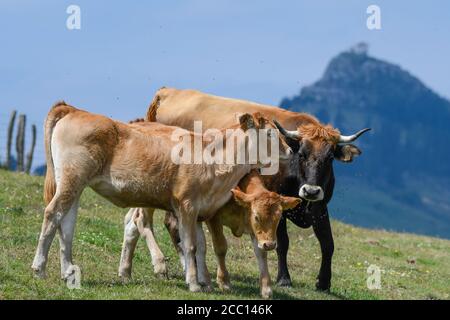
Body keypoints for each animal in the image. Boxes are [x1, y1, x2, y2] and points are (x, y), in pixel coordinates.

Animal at [31, 101, 292, 292]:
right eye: (270, 134)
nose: (290, 150)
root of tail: (75, 109)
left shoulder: (200, 210)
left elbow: (200, 246)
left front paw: (204, 282)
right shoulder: (186, 205)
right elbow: (189, 246)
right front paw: (194, 284)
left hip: (74, 185)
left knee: (67, 224)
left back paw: (68, 272)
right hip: (72, 180)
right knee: (52, 214)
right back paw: (39, 268)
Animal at [146, 87, 370, 290]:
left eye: (330, 157)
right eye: (302, 154)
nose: (311, 191)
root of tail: (168, 91)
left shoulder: (320, 207)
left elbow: (328, 244)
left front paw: (323, 282)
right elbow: (283, 242)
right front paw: (284, 279)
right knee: (169, 224)